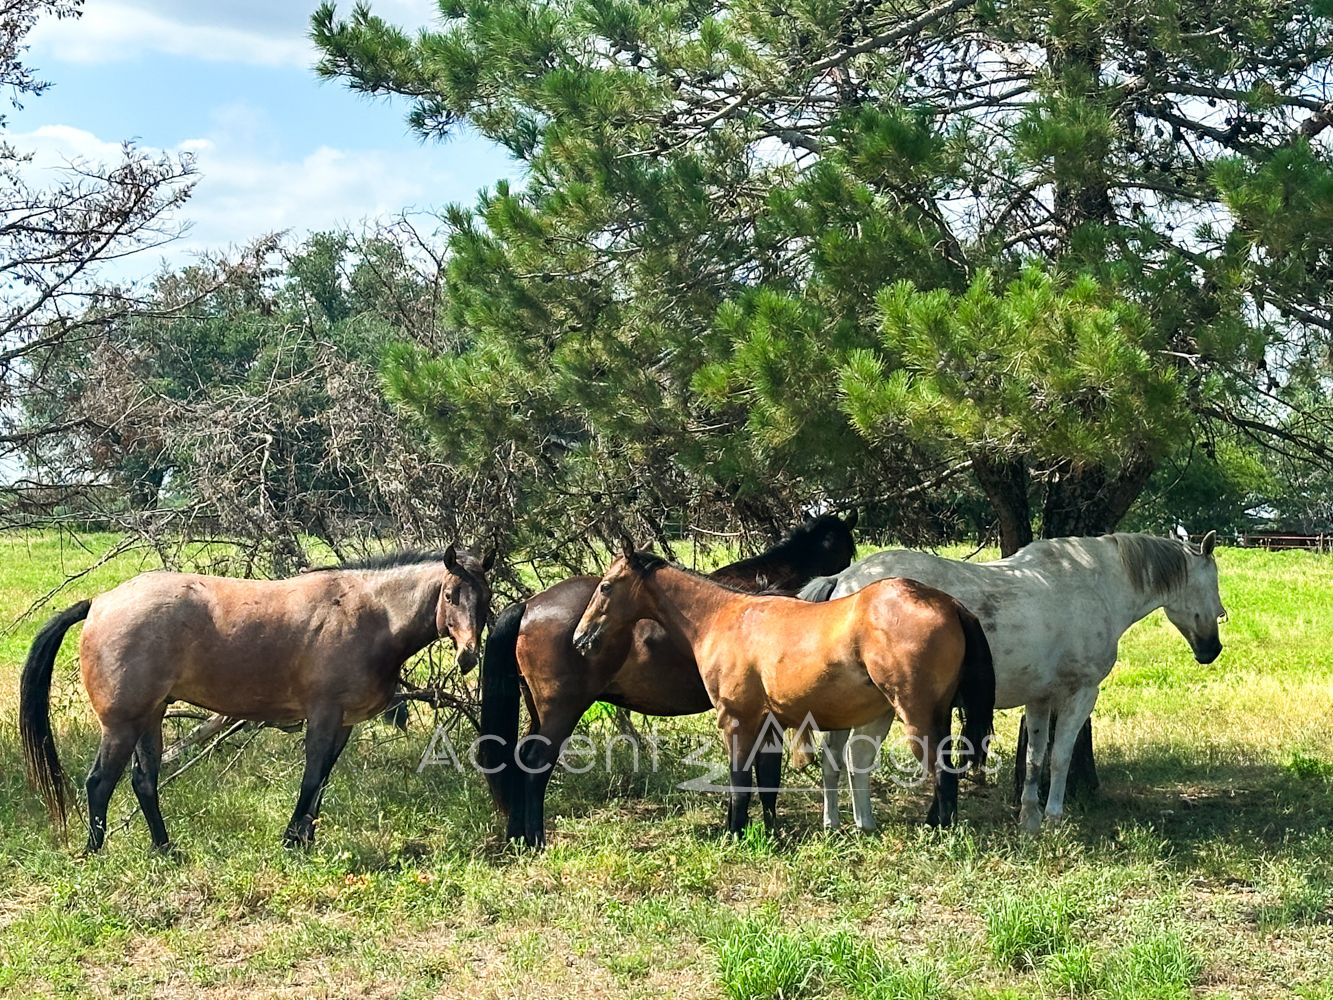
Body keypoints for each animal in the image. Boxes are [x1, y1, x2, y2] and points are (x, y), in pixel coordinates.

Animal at [20, 545, 494, 852]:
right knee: (100, 783)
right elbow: (311, 776)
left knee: (143, 781)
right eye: (450, 595)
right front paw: (293, 840)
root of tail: (100, 602)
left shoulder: (343, 722)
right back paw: (95, 853)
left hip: (149, 717)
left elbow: (323, 779)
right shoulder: (324, 714)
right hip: (122, 723)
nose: (469, 655)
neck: (368, 613)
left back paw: (165, 849)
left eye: (485, 599)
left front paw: (306, 836)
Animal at [477, 512, 858, 847]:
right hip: (562, 711)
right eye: (848, 551)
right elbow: (765, 775)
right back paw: (537, 840)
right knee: (536, 766)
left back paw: (518, 838)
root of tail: (529, 605)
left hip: (539, 710)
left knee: (519, 760)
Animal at [571, 542, 995, 834]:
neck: (724, 617)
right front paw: (766, 830)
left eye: (606, 587)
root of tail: (949, 604)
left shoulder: (736, 719)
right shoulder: (767, 723)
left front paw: (735, 831)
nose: (580, 638)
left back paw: (938, 830)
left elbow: (740, 780)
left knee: (941, 772)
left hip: (916, 715)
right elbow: (767, 782)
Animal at [799, 531, 1226, 834]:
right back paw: (864, 823)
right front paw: (1053, 818)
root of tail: (844, 581)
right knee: (857, 757)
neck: (1096, 582)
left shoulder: (1039, 699)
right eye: (1212, 585)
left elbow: (1036, 758)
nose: (1212, 650)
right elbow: (1060, 756)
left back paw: (838, 823)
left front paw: (1029, 818)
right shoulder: (1080, 694)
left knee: (836, 759)